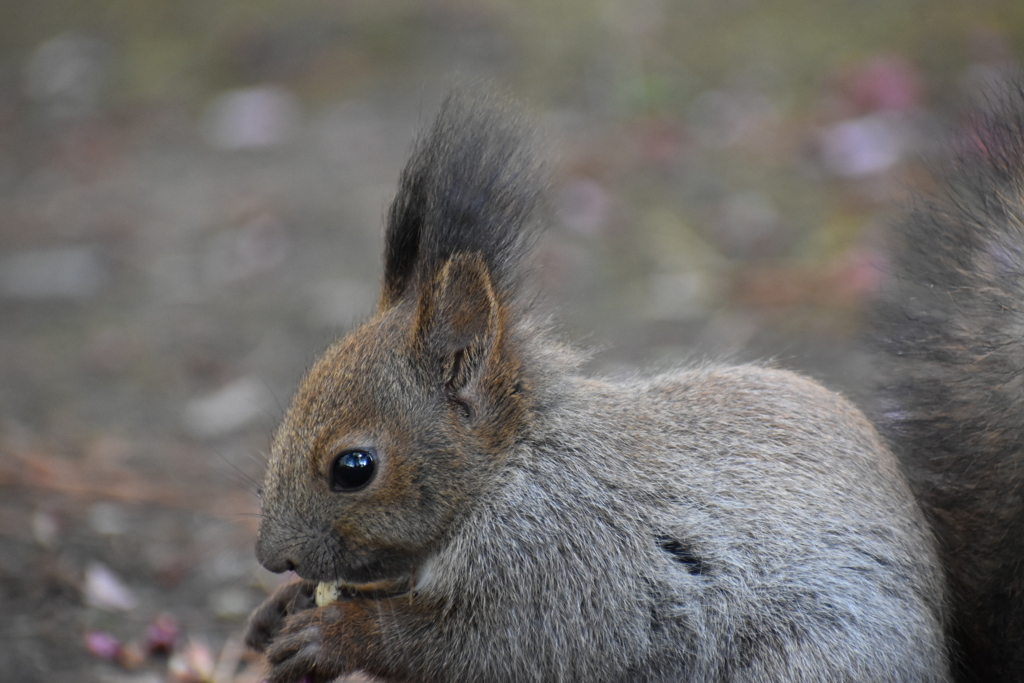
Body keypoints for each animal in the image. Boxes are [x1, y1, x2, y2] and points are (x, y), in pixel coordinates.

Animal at [241, 93, 950, 679]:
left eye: (353, 467)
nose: (272, 557)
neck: (512, 471)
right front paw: (281, 607)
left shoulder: (561, 574)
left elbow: (475, 646)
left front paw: (334, 634)